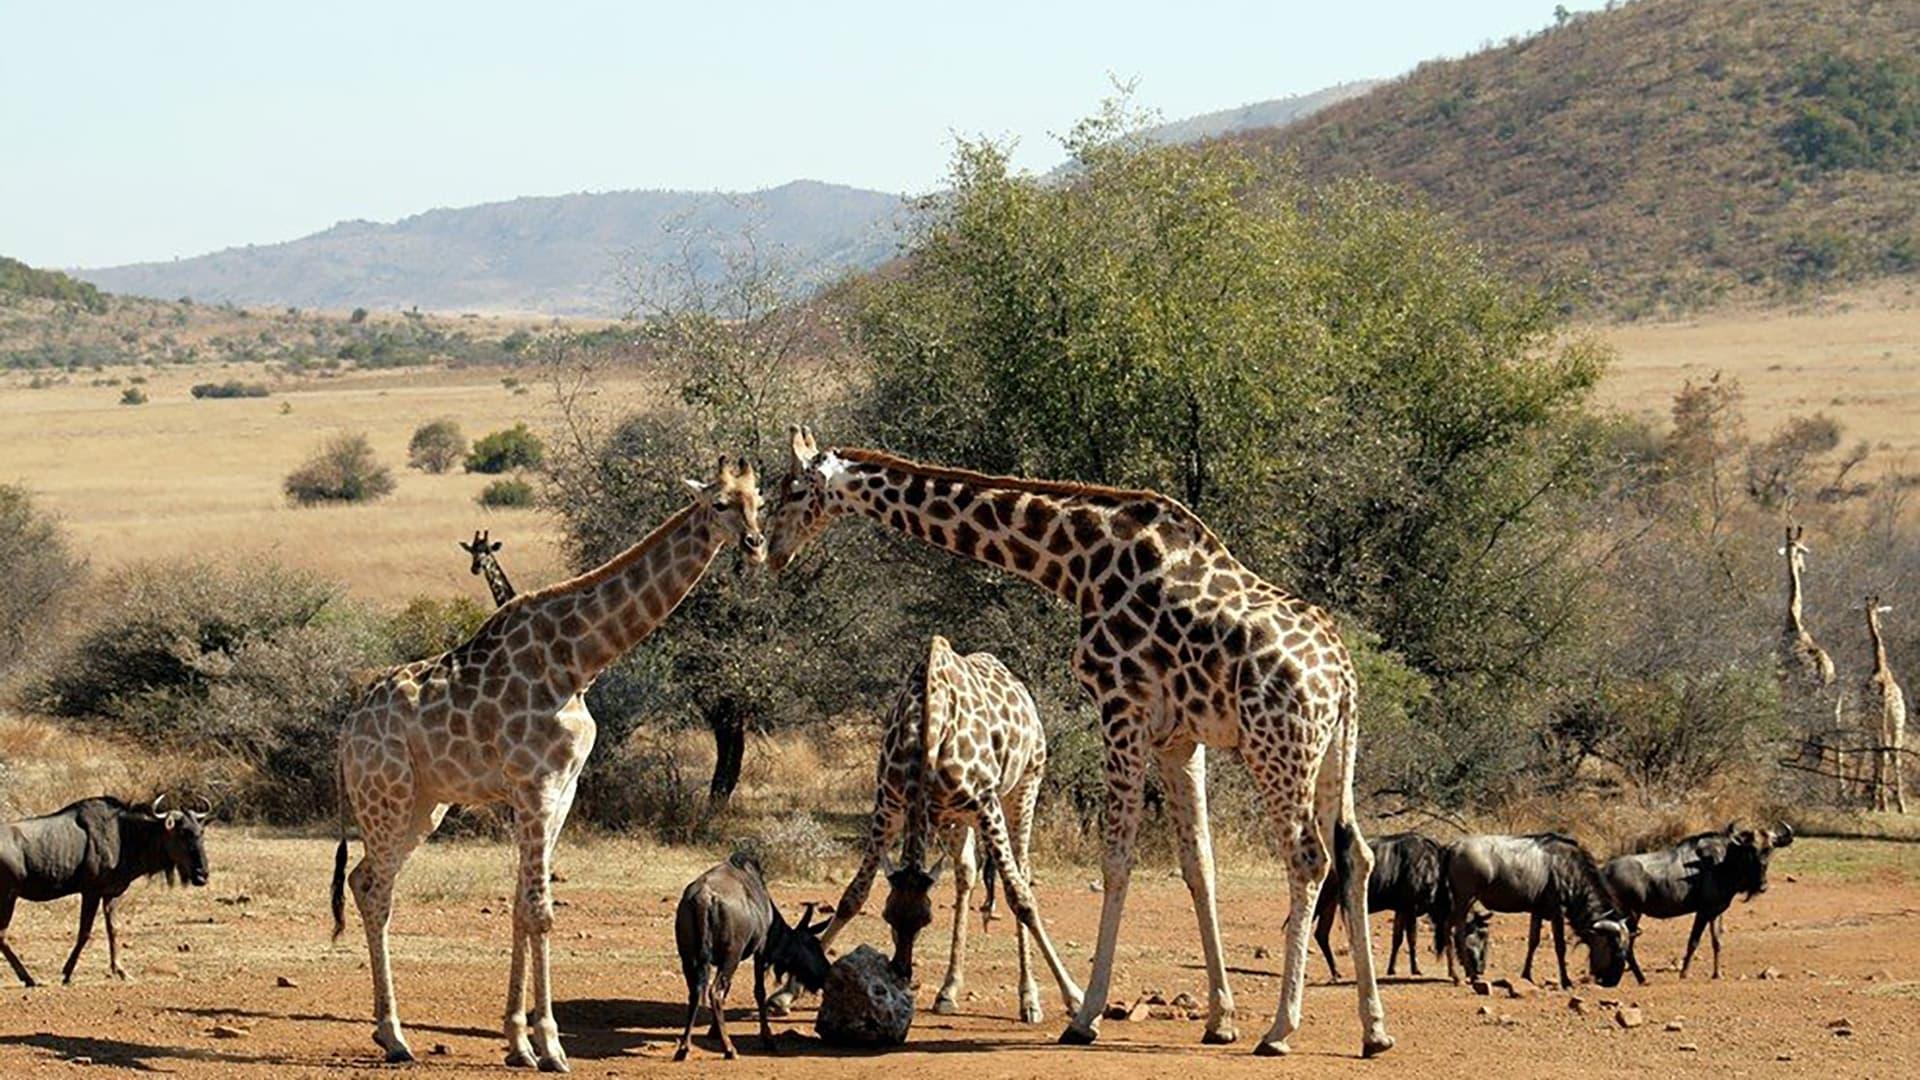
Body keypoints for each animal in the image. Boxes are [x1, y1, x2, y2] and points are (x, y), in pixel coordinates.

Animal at [337, 455, 764, 1068]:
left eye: (761, 500)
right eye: (719, 503)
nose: (754, 544)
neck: (579, 662)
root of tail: (348, 727)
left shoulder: (561, 790)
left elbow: (521, 906)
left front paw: (519, 1042)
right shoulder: (534, 785)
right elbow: (541, 912)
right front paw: (553, 1045)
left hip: (426, 805)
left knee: (363, 879)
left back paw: (387, 1032)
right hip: (386, 796)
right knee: (375, 889)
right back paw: (394, 1036)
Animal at [771, 630, 1090, 1014]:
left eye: (926, 919)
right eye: (888, 916)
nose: (902, 971)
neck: (926, 735)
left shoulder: (987, 805)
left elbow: (1021, 898)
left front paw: (1074, 997)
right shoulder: (889, 805)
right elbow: (852, 896)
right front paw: (786, 993)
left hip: (1025, 786)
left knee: (1022, 873)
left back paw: (1028, 997)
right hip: (952, 818)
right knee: (966, 873)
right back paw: (949, 989)